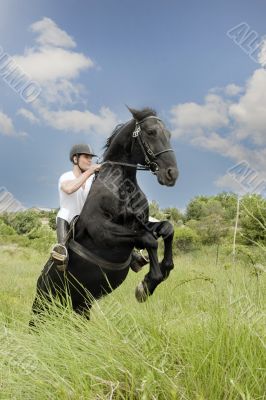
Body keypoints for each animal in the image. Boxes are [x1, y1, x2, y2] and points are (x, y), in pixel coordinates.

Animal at [30, 106, 178, 318]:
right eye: (151, 132)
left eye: (169, 134)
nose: (172, 174)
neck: (123, 185)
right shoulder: (103, 231)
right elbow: (149, 239)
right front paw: (146, 285)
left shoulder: (141, 223)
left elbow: (167, 229)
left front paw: (162, 271)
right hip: (43, 306)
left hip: (81, 304)